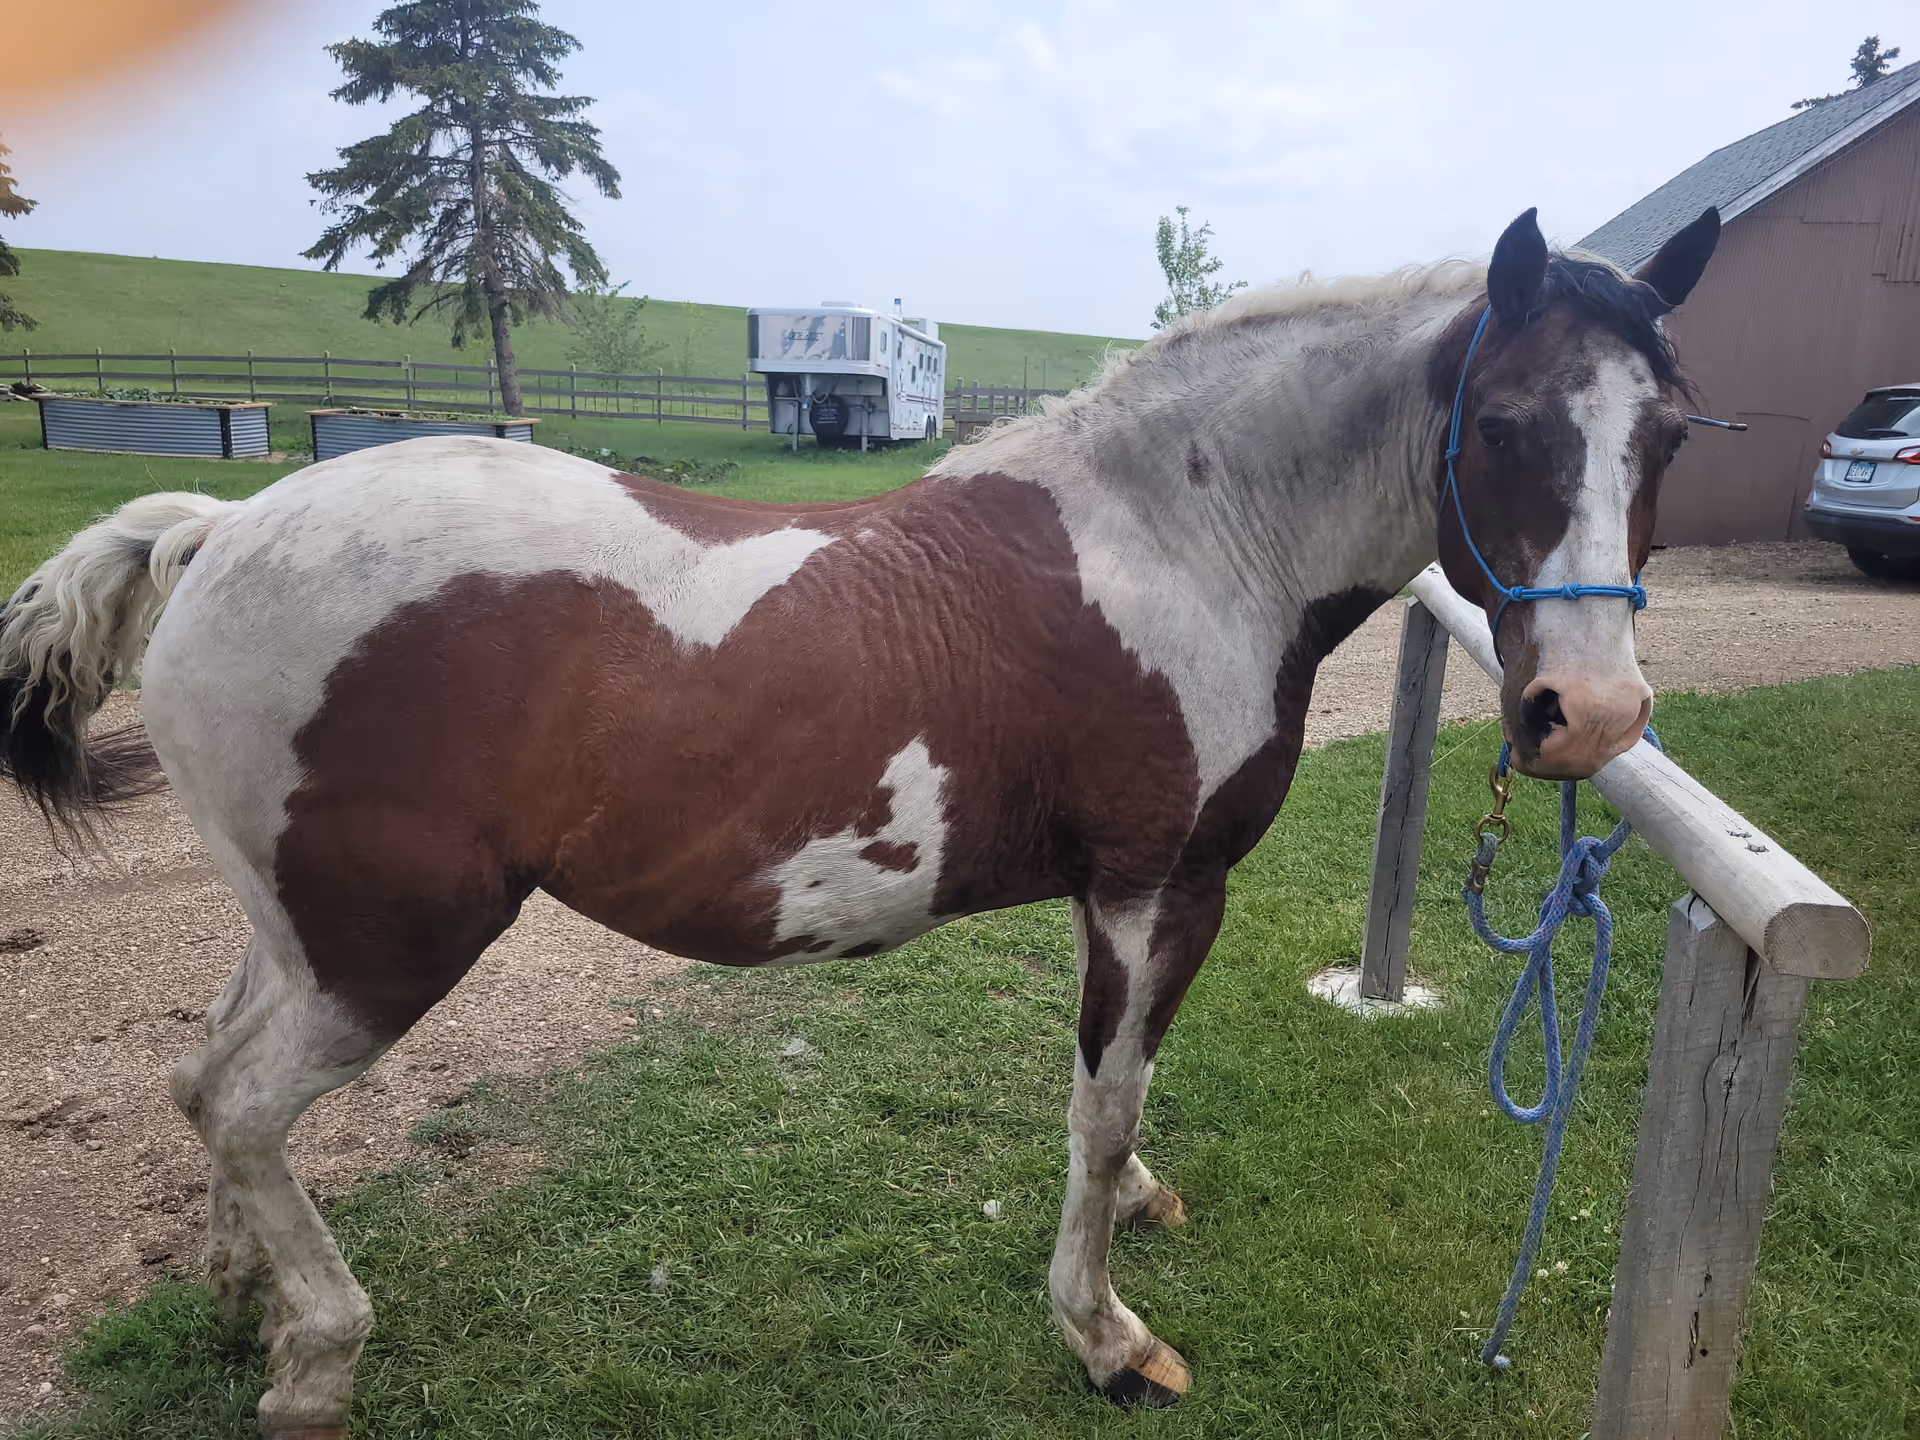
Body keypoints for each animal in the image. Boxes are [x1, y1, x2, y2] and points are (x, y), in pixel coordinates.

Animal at [0, 205, 1719, 1437]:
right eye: (1505, 425)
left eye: (1666, 438)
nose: (1589, 716)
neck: (1184, 535)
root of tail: (224, 525)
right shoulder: (1151, 889)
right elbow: (1102, 1108)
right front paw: (1104, 1334)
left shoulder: (1137, 900)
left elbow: (1120, 1098)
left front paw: (1135, 1216)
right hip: (386, 947)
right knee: (243, 1105)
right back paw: (320, 1355)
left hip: (297, 925)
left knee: (204, 1077)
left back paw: (247, 1292)